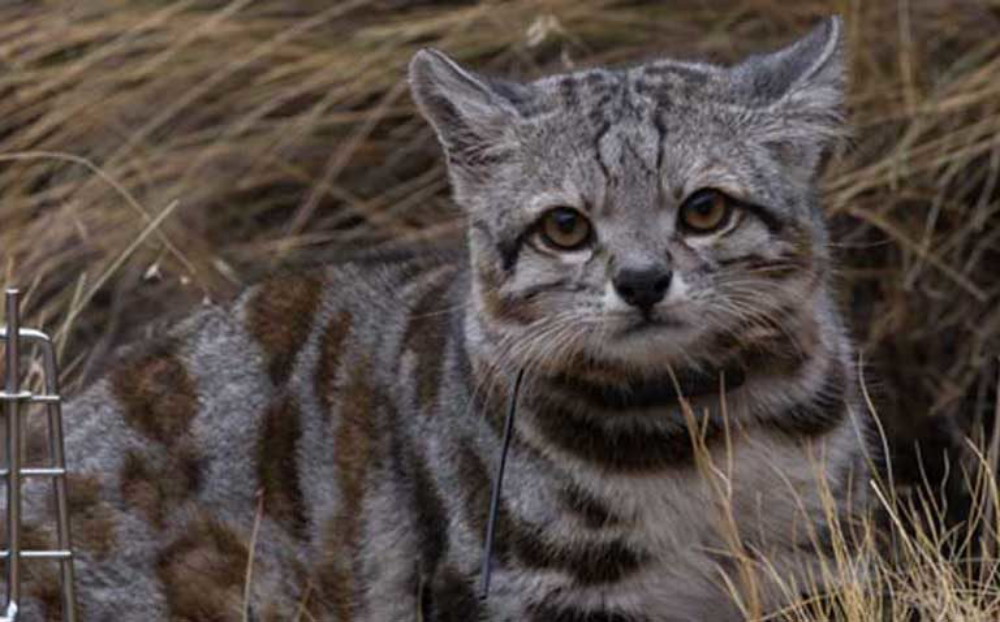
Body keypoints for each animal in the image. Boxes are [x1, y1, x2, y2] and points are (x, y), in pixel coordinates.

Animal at [5, 14, 868, 622]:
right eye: (565, 226)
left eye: (705, 210)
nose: (643, 280)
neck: (693, 432)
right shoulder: (531, 587)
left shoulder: (813, 565)